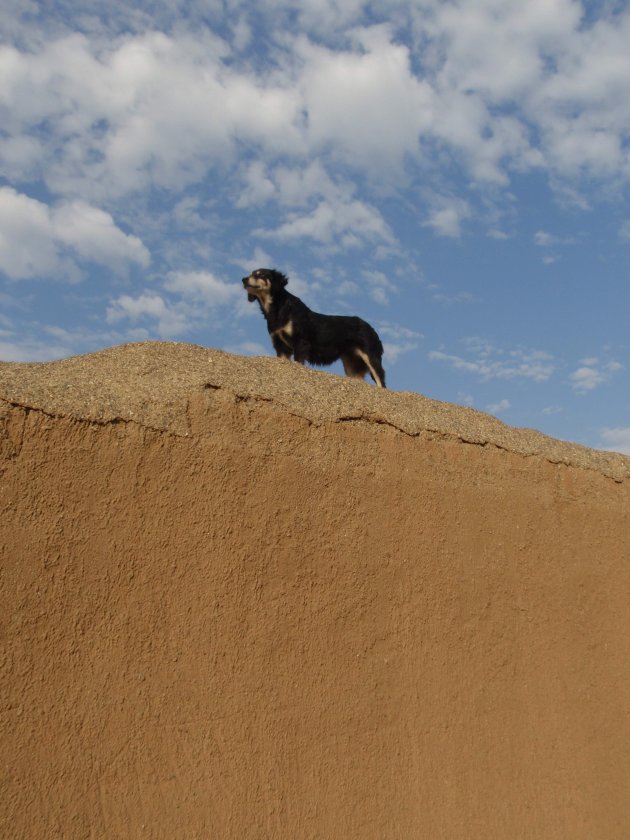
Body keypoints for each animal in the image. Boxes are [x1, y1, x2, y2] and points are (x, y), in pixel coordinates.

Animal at [244, 268, 388, 388]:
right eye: (251, 274)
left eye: (261, 274)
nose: (244, 279)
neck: (279, 309)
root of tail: (371, 329)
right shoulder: (281, 346)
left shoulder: (300, 343)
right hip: (352, 366)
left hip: (371, 357)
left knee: (381, 383)